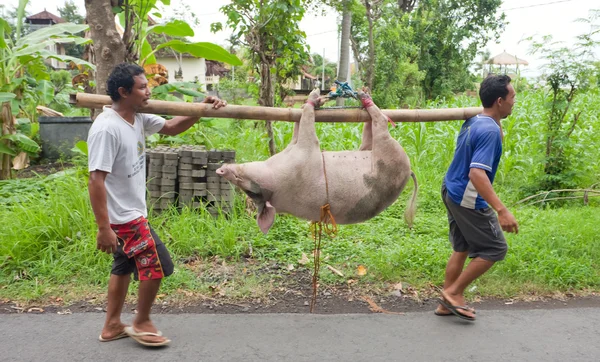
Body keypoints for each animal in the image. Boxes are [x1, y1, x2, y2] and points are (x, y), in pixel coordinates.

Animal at [216, 88, 418, 233]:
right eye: (251, 191)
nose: (221, 170)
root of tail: (409, 170)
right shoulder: (305, 152)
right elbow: (307, 126)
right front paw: (313, 97)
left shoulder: (295, 148)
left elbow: (297, 128)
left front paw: (313, 101)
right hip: (389, 152)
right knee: (380, 124)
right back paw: (365, 99)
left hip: (373, 150)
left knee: (370, 135)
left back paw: (363, 96)